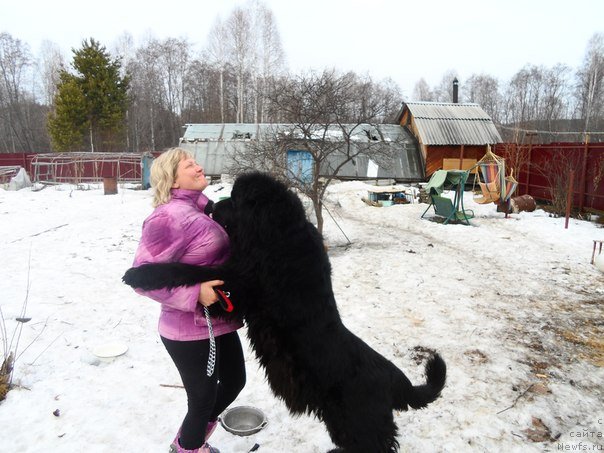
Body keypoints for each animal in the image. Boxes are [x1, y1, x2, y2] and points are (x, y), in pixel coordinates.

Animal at [122, 171, 446, 450]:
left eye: (236, 200)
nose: (212, 205)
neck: (276, 235)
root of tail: (393, 379)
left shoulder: (241, 283)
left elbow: (189, 270)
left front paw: (140, 274)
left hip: (359, 423)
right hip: (342, 421)